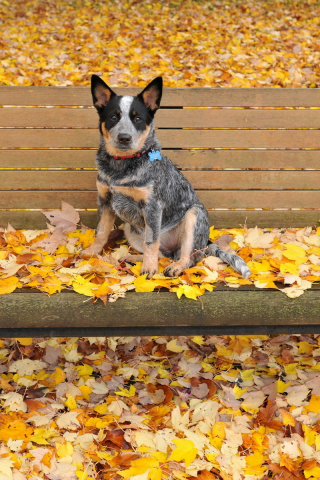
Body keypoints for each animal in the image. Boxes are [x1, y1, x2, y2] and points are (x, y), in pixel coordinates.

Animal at [82, 73, 250, 280]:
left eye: (138, 119)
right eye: (113, 116)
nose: (124, 137)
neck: (121, 167)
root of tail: (206, 242)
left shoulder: (153, 207)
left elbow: (151, 242)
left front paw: (149, 269)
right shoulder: (105, 200)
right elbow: (101, 232)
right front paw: (92, 252)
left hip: (194, 216)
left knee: (188, 257)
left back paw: (175, 267)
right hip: (130, 228)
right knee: (163, 254)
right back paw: (134, 258)